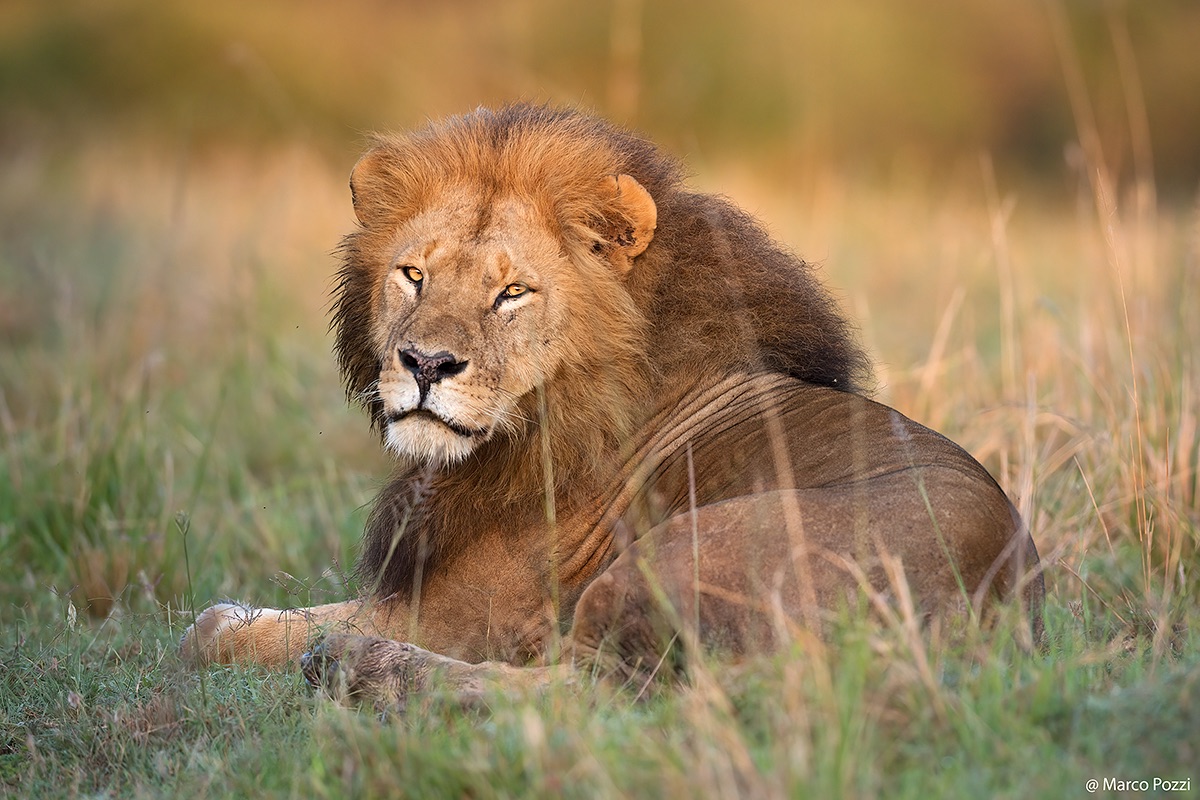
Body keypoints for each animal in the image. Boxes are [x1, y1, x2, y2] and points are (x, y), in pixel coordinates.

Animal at [180, 104, 1044, 706]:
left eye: (511, 293)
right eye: (413, 275)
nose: (425, 365)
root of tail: (999, 610)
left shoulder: (462, 616)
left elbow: (210, 632)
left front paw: (263, 638)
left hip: (672, 558)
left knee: (586, 697)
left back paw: (355, 670)